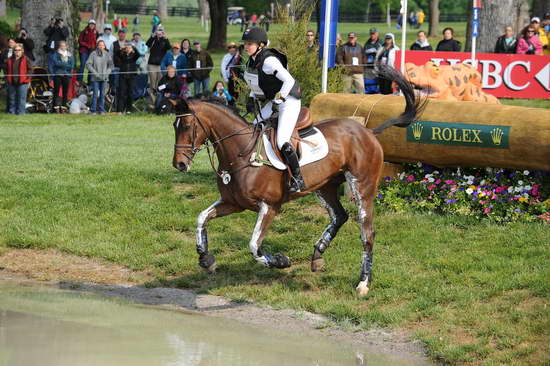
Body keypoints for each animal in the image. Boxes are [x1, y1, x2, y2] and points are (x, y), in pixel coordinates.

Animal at [175, 65, 424, 294]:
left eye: (186, 126)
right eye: (174, 126)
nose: (179, 164)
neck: (241, 153)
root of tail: (369, 132)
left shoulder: (269, 206)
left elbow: (254, 245)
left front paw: (280, 261)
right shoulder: (233, 203)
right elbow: (202, 218)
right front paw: (206, 259)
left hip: (362, 186)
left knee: (367, 232)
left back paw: (363, 283)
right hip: (324, 187)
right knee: (339, 216)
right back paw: (318, 255)